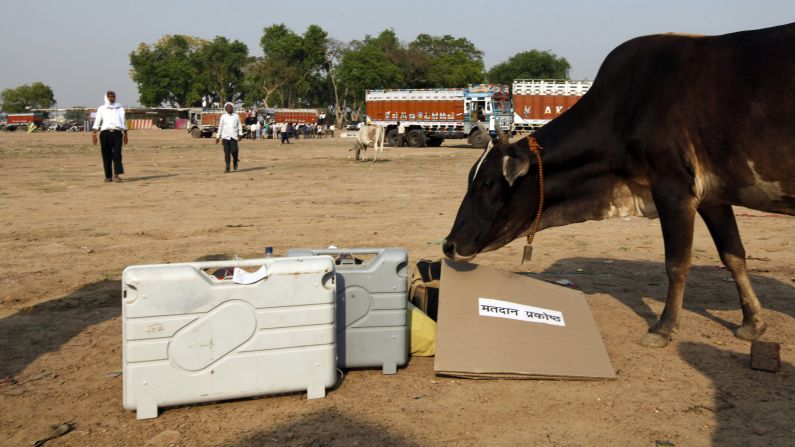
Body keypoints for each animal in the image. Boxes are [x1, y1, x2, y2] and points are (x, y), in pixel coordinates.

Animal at [442, 22, 795, 350]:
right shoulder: (713, 197)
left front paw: (663, 328)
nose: (448, 244)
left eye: (487, 182)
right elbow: (733, 255)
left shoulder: (673, 189)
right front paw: (752, 323)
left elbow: (677, 263)